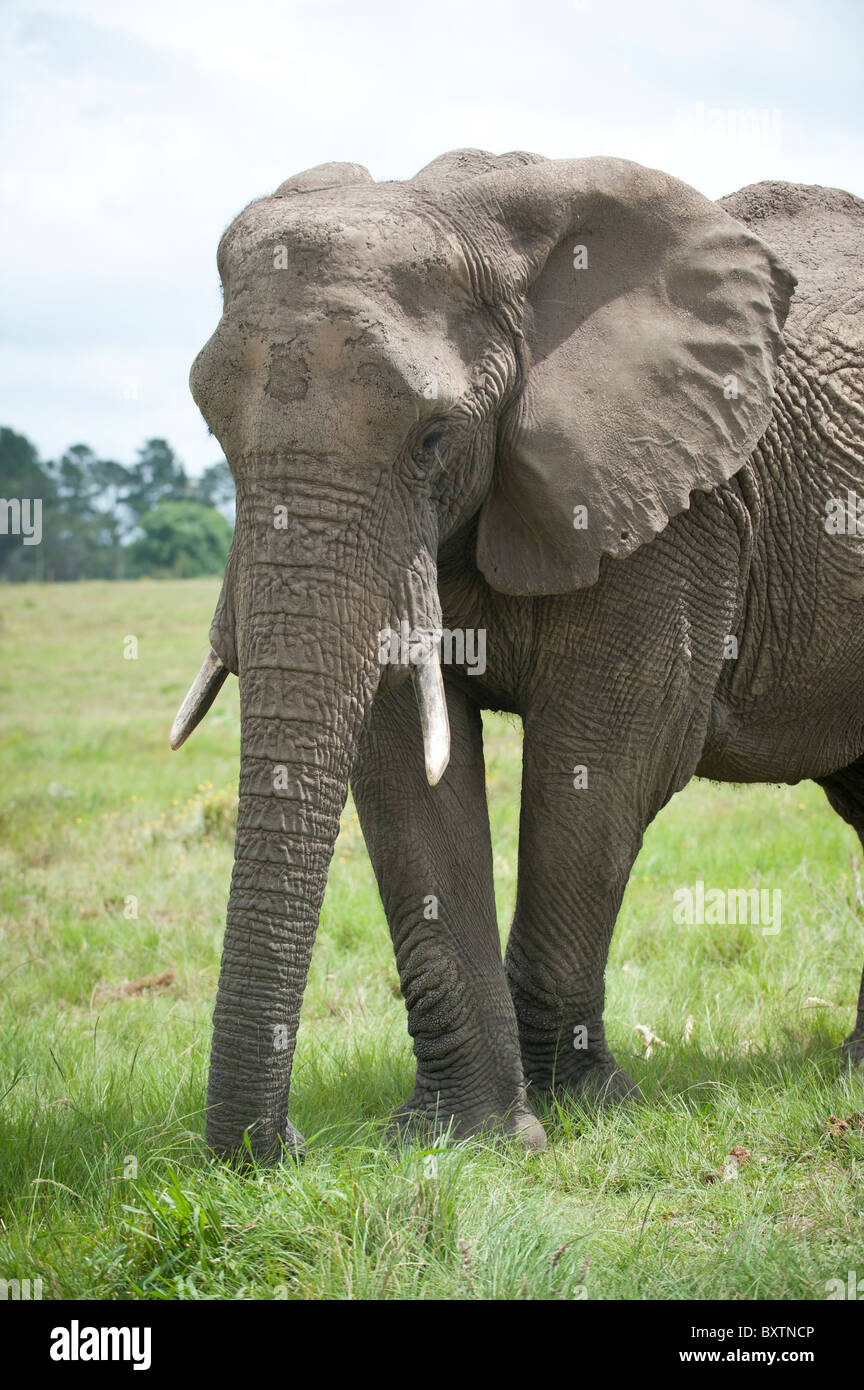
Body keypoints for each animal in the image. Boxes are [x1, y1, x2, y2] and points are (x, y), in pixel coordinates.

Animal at [174, 146, 864, 1162]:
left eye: (432, 440)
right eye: (216, 436)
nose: (286, 1147)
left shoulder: (675, 512)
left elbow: (604, 760)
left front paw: (586, 1110)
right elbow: (404, 768)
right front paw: (470, 1137)